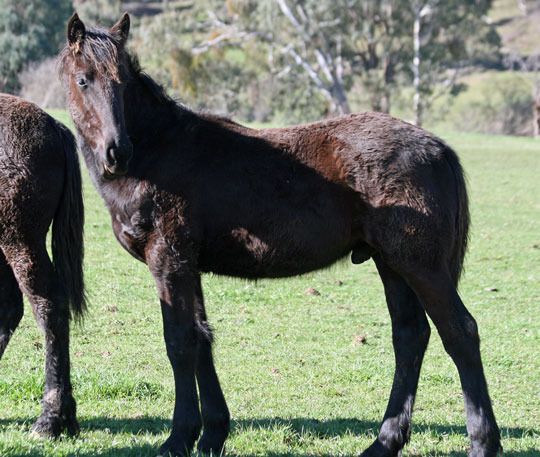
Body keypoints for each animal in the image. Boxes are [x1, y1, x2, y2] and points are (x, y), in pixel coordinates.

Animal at [59, 13, 501, 457]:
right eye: (83, 79)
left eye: (123, 82)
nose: (117, 152)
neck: (159, 152)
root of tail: (439, 148)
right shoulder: (189, 265)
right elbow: (202, 339)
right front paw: (213, 434)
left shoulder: (169, 260)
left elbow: (180, 342)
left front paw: (178, 438)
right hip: (391, 264)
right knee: (410, 337)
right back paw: (384, 442)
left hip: (421, 266)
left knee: (460, 333)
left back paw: (482, 442)